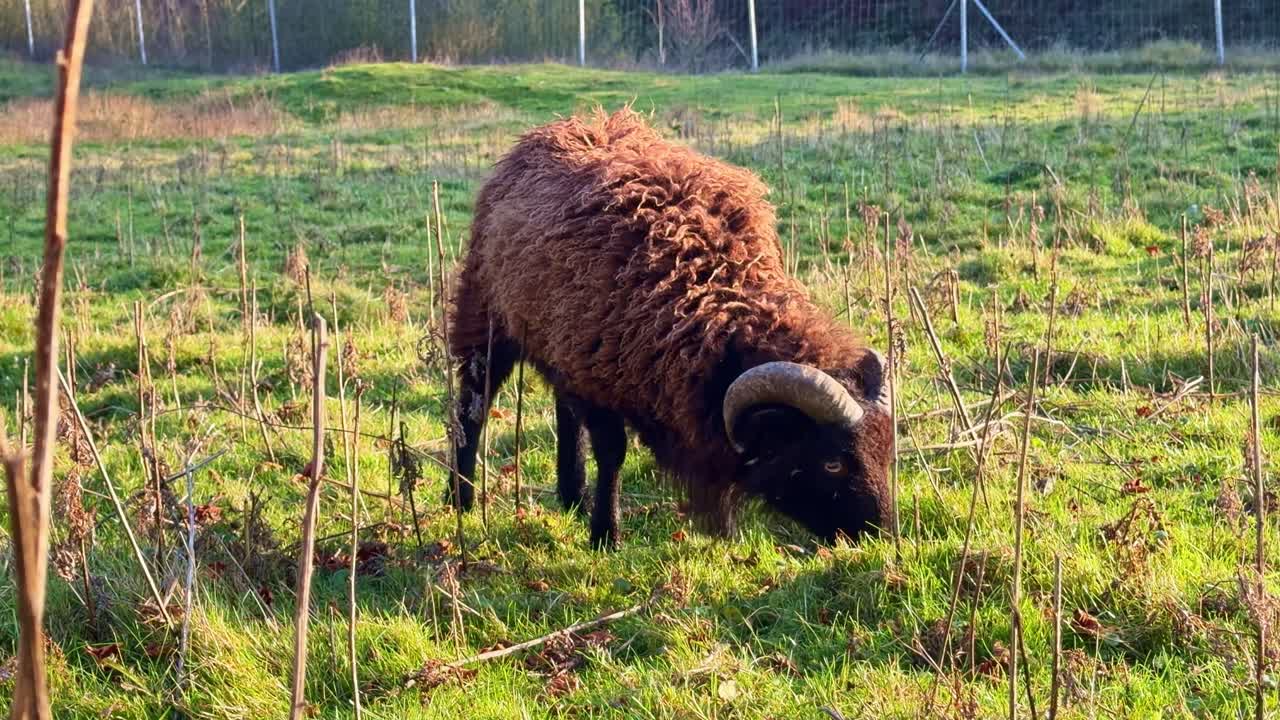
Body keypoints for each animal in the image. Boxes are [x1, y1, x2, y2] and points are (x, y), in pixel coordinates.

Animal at [447, 107, 893, 548]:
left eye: (886, 450)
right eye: (832, 462)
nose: (882, 535)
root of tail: (558, 128)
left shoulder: (585, 360)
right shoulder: (596, 377)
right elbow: (612, 453)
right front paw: (606, 535)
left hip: (558, 342)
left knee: (563, 411)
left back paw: (573, 496)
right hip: (487, 314)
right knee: (474, 403)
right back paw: (461, 499)